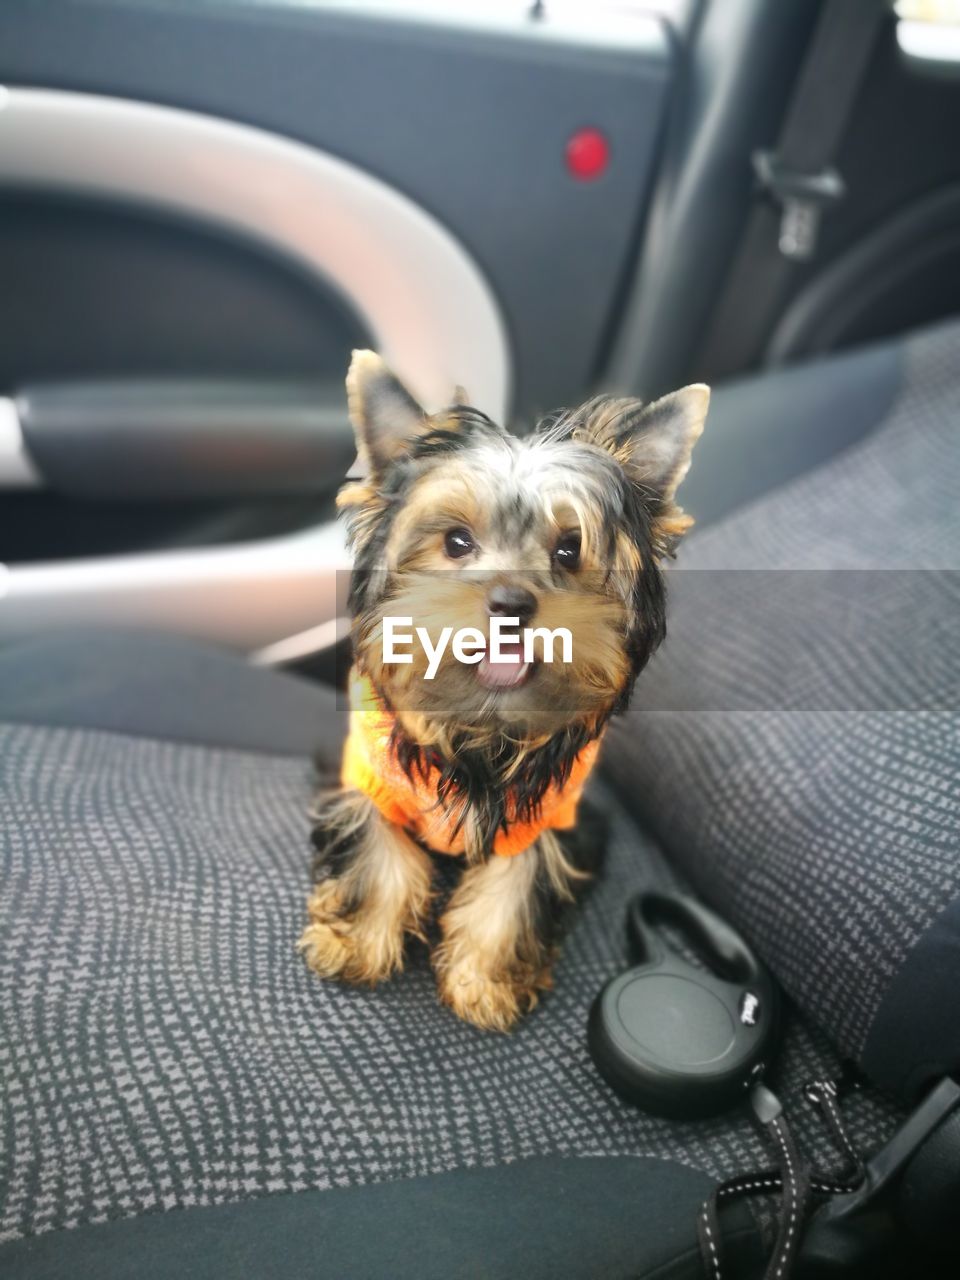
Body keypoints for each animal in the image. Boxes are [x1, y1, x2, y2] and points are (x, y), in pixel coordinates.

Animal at [296, 348, 711, 1029]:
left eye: (570, 550)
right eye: (456, 542)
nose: (512, 603)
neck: (483, 723)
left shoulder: (550, 810)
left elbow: (516, 881)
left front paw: (484, 979)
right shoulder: (371, 773)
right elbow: (378, 847)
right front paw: (357, 941)